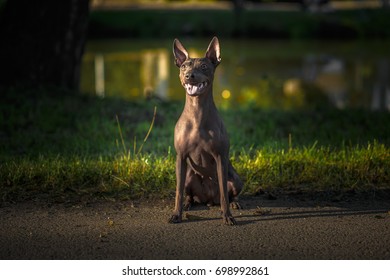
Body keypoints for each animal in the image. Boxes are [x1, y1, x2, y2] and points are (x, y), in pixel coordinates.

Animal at [168, 37, 242, 225]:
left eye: (203, 67)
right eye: (184, 66)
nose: (189, 75)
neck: (197, 112)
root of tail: (209, 199)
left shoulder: (220, 157)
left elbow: (224, 195)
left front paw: (227, 216)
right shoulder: (181, 157)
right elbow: (178, 192)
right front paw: (176, 214)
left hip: (235, 178)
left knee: (230, 195)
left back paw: (236, 203)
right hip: (189, 177)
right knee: (189, 195)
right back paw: (188, 204)